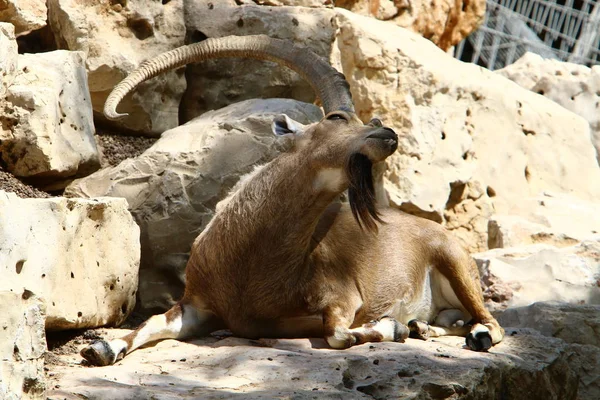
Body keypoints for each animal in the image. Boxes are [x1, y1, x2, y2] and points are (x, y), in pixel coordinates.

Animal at [78, 36, 502, 368]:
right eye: (335, 117)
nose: (388, 134)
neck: (248, 260)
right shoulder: (198, 305)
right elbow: (148, 324)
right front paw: (102, 348)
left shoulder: (343, 296)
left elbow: (338, 334)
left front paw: (389, 325)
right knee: (454, 320)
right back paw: (424, 326)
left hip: (456, 263)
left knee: (492, 324)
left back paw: (461, 332)